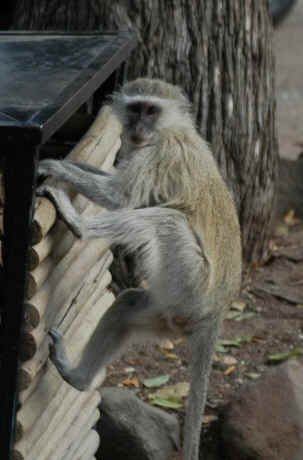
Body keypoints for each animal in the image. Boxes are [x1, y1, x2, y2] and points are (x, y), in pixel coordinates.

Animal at [37, 79, 242, 460]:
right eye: (135, 109)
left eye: (151, 110)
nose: (137, 128)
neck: (169, 129)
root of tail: (218, 310)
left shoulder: (159, 154)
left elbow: (119, 196)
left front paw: (52, 165)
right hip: (170, 315)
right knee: (129, 303)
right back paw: (79, 378)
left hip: (191, 286)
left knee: (168, 220)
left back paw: (80, 226)